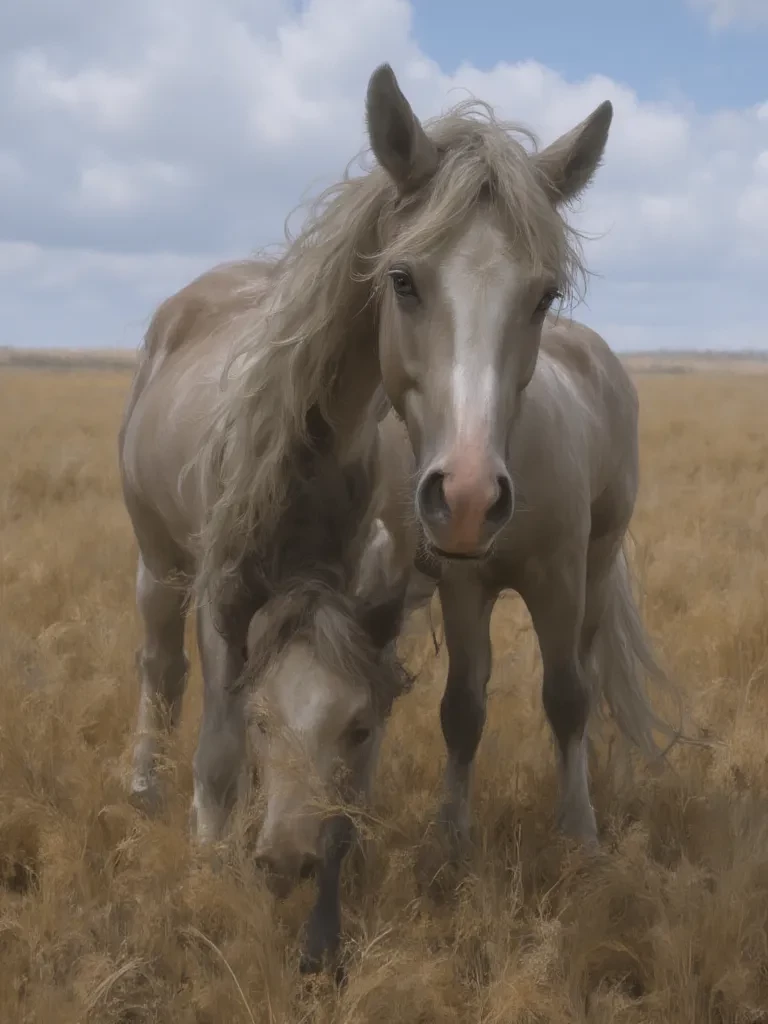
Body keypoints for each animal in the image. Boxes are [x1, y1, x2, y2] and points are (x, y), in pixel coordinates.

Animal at [118, 62, 625, 970]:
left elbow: (354, 771)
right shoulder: (225, 595)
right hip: (158, 561)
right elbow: (220, 743)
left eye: (544, 296)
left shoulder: (376, 603)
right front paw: (210, 879)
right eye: (403, 279)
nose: (467, 493)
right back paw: (146, 784)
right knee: (161, 669)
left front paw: (324, 922)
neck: (306, 453)